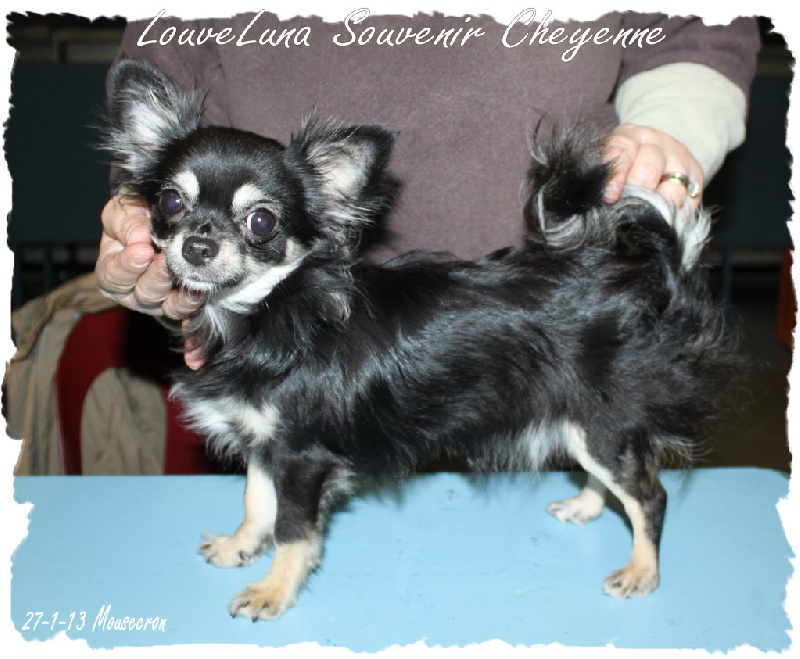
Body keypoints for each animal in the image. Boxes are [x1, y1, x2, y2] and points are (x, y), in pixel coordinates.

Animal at [101, 58, 738, 621]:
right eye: (169, 202)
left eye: (262, 221)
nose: (197, 245)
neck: (264, 311)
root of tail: (636, 274)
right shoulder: (264, 442)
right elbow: (257, 501)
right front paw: (240, 546)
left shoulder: (302, 455)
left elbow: (292, 530)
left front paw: (272, 592)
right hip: (580, 422)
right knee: (614, 481)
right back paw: (585, 503)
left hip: (601, 422)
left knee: (649, 495)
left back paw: (642, 572)